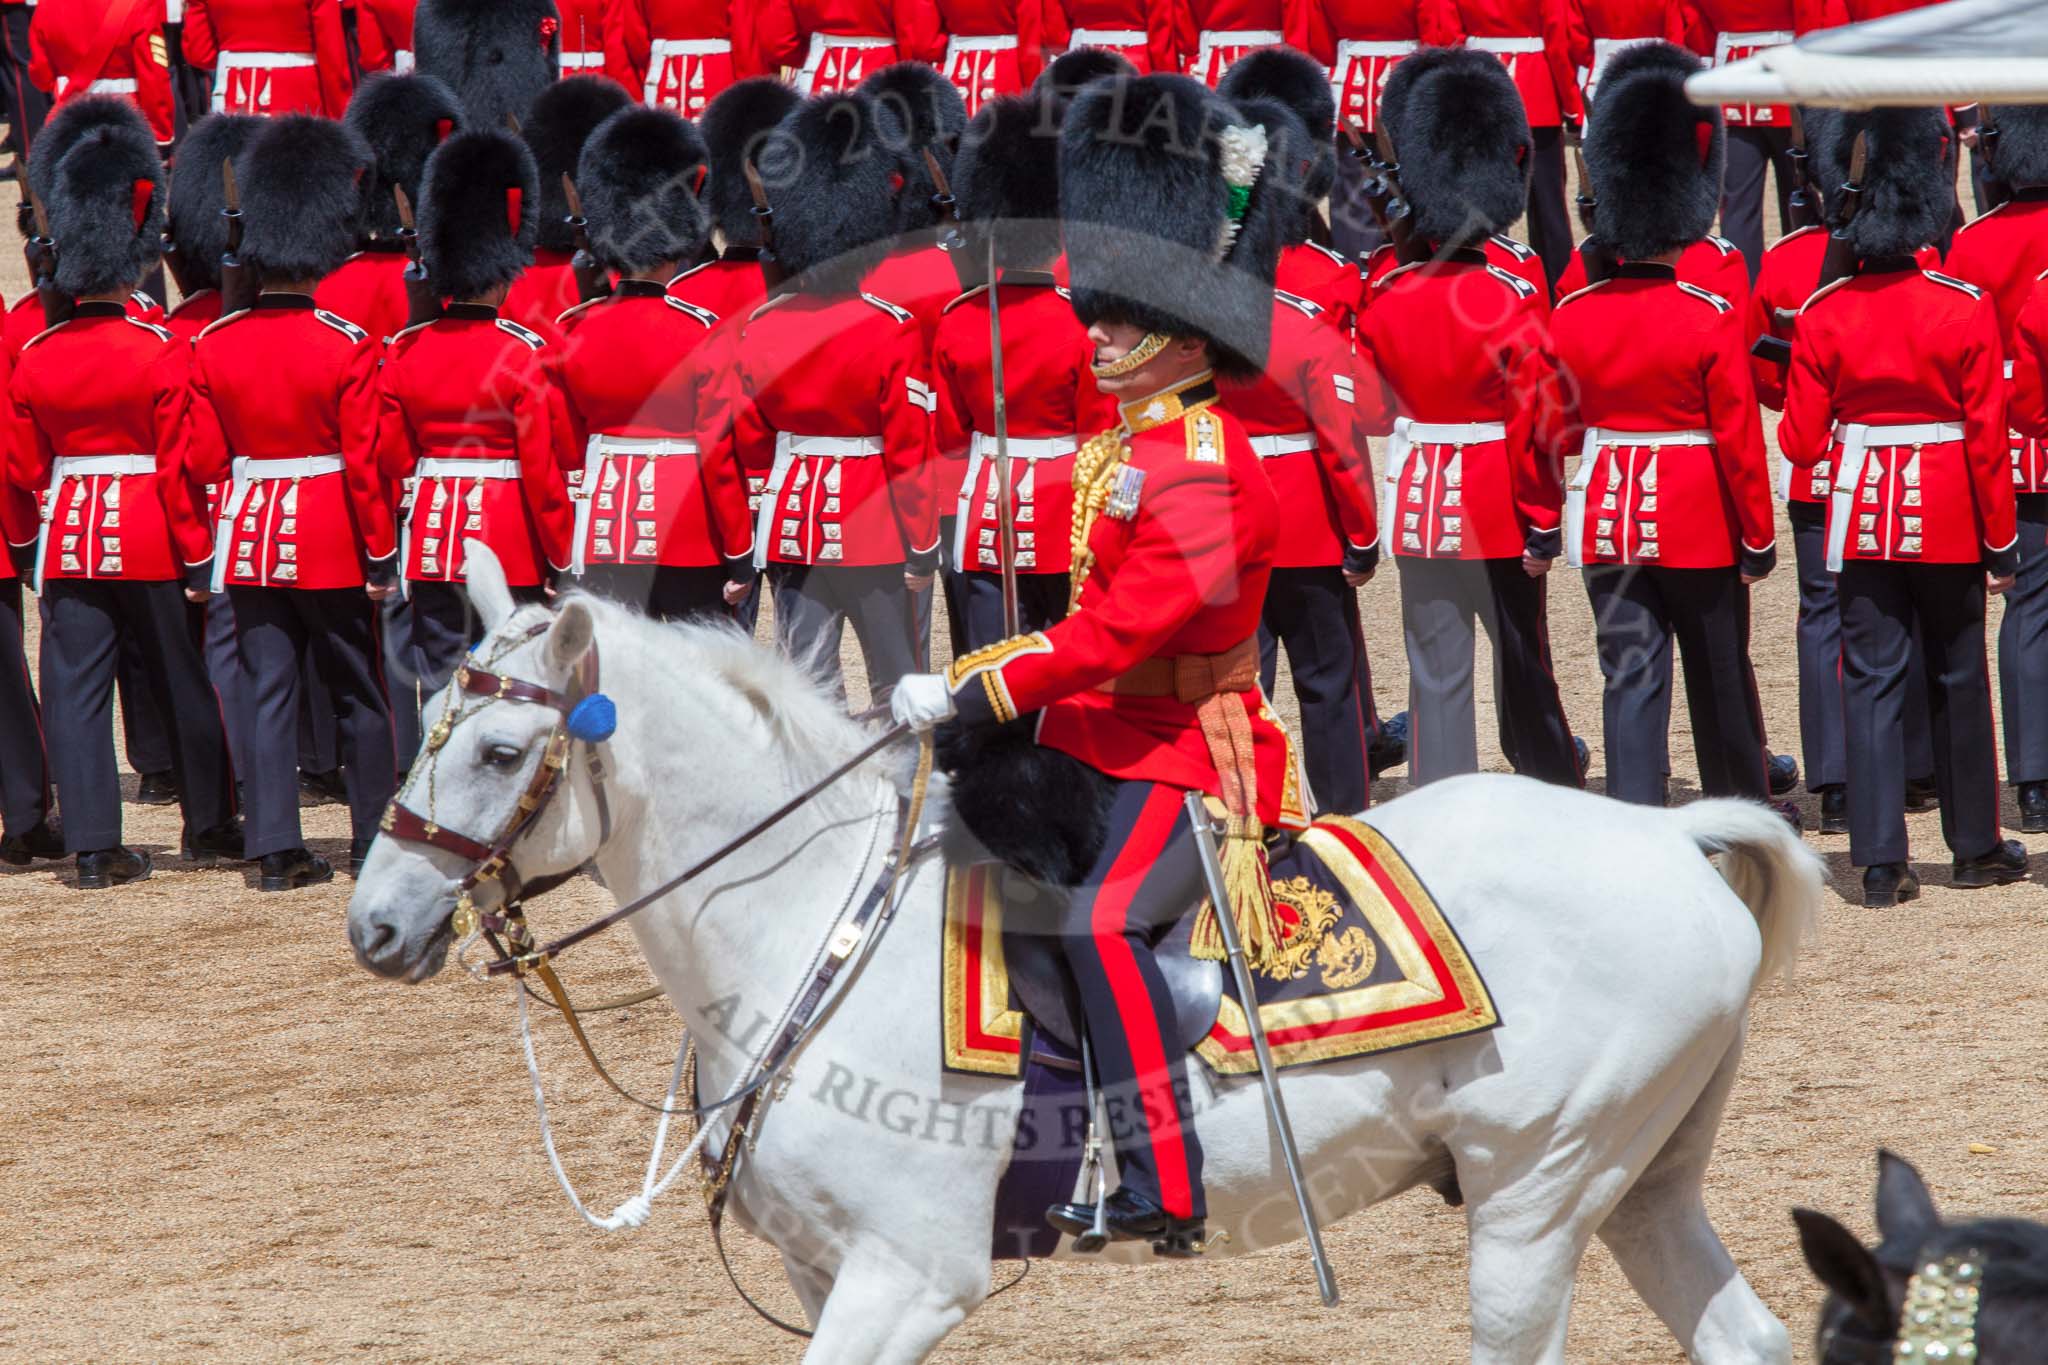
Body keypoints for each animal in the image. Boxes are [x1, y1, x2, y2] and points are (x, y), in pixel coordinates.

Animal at [348, 543, 1822, 1364]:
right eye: (425, 723)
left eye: (499, 750)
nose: (376, 925)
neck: (807, 930)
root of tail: (1666, 836)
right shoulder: (825, 1273)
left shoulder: (905, 1279)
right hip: (1636, 1189)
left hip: (1531, 1203)